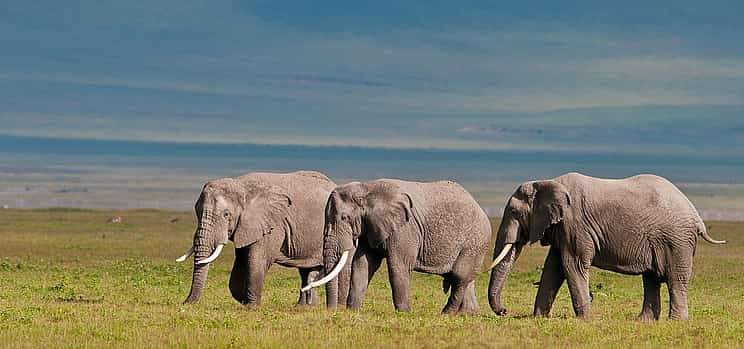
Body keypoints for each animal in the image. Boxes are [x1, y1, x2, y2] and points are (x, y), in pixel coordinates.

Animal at [177, 170, 352, 306]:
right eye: (196, 211)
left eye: (226, 214)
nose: (185, 303)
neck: (242, 185)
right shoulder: (247, 227)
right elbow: (241, 262)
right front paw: (244, 300)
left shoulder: (273, 224)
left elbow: (256, 260)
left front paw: (252, 307)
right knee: (307, 270)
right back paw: (305, 307)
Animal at [300, 178, 492, 314]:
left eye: (345, 218)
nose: (333, 310)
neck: (366, 189)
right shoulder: (370, 226)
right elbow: (363, 265)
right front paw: (352, 311)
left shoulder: (405, 228)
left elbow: (397, 266)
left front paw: (404, 313)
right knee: (462, 278)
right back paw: (466, 314)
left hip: (475, 241)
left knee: (460, 276)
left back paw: (446, 314)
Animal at [486, 173, 724, 320]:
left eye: (514, 212)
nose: (504, 311)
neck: (548, 182)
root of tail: (697, 217)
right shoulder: (562, 229)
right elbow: (553, 268)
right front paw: (539, 318)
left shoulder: (575, 225)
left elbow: (572, 265)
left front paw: (583, 320)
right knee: (651, 279)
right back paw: (643, 321)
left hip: (677, 241)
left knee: (676, 279)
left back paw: (675, 321)